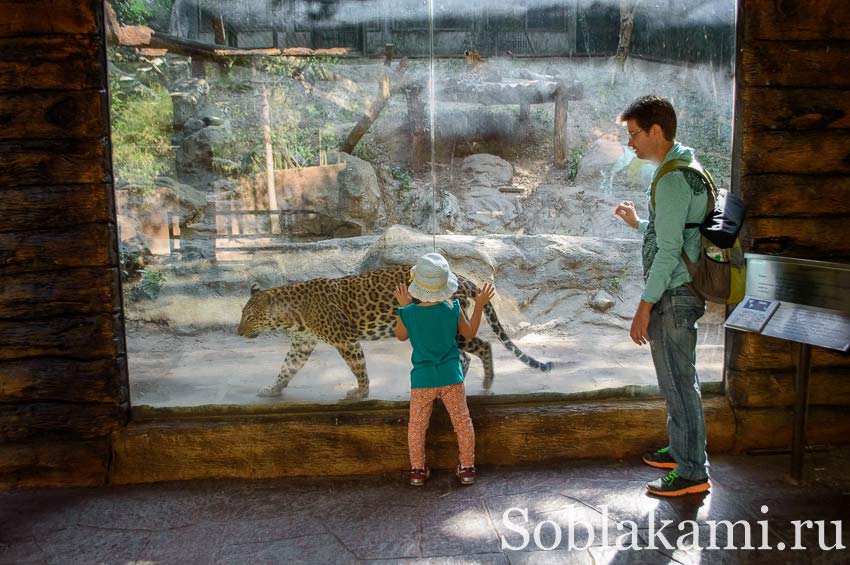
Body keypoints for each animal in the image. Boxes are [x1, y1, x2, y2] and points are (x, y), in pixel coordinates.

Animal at [237, 266, 556, 398]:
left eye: (249, 316)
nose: (238, 332)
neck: (292, 315)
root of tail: (463, 278)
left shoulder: (345, 339)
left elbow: (358, 367)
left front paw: (361, 392)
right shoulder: (301, 344)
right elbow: (287, 368)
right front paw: (273, 390)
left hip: (450, 327)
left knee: (483, 346)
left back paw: (487, 383)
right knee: (465, 355)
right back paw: (459, 380)